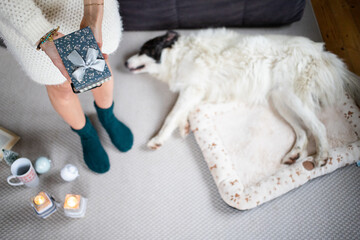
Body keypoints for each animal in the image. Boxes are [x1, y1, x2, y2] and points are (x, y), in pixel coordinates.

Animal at [126, 28, 360, 167]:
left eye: (144, 49)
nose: (125, 63)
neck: (177, 54)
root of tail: (321, 53)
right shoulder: (194, 91)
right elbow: (182, 113)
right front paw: (184, 127)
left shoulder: (192, 88)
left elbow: (171, 116)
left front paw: (158, 139)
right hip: (280, 101)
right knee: (303, 131)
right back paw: (294, 155)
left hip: (292, 97)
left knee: (318, 127)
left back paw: (322, 156)